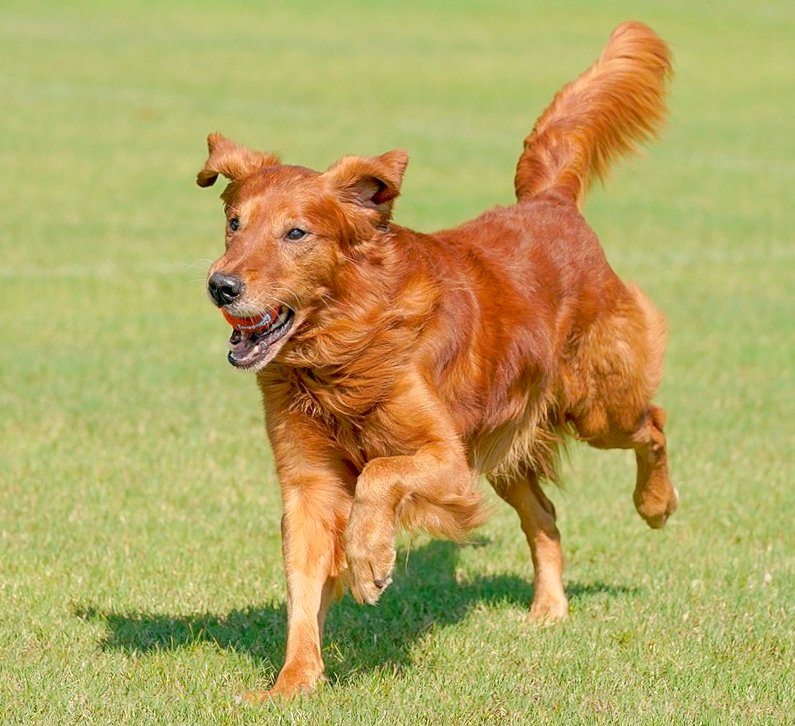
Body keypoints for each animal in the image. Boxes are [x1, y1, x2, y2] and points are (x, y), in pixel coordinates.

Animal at [197, 22, 676, 704]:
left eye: (296, 233)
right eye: (234, 224)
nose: (221, 286)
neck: (347, 348)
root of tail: (549, 202)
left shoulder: (447, 461)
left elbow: (378, 476)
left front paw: (370, 559)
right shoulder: (309, 483)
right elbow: (303, 587)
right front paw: (293, 681)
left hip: (593, 406)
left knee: (653, 423)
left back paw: (655, 503)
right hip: (506, 444)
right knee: (546, 515)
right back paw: (549, 609)